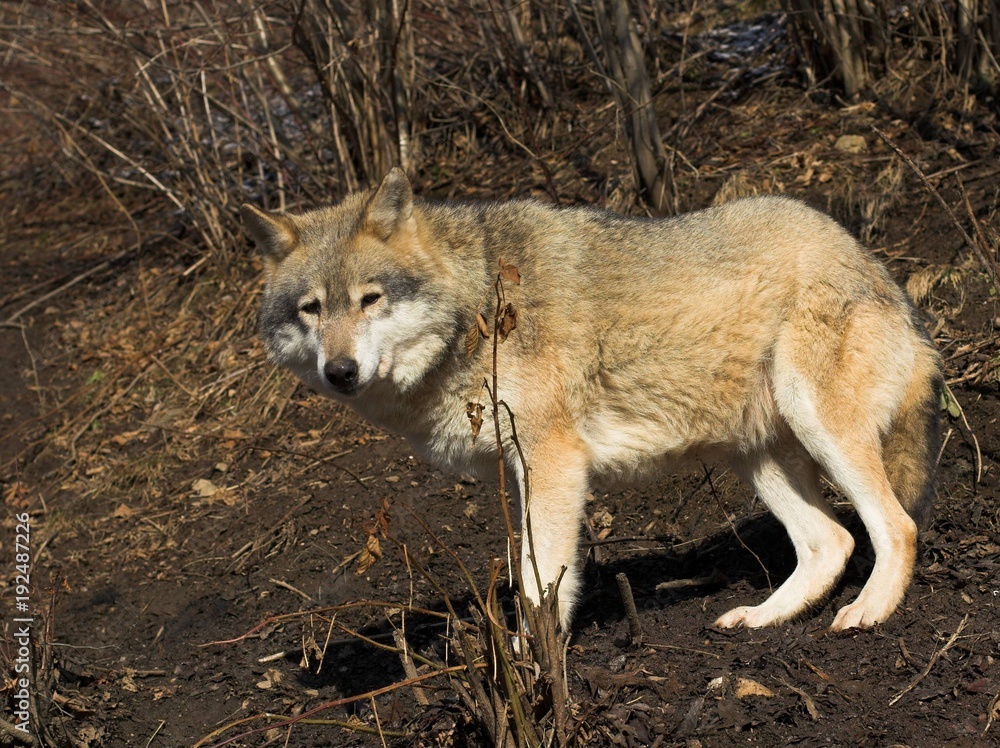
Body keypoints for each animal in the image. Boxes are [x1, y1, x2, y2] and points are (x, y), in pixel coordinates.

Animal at [242, 167, 942, 633]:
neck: (477, 305)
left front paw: (533, 671)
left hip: (819, 427)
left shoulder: (553, 463)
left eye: (370, 298)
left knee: (896, 527)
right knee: (833, 542)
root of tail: (875, 267)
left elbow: (539, 586)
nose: (340, 370)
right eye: (311, 309)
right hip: (758, 458)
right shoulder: (523, 472)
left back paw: (868, 613)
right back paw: (761, 618)